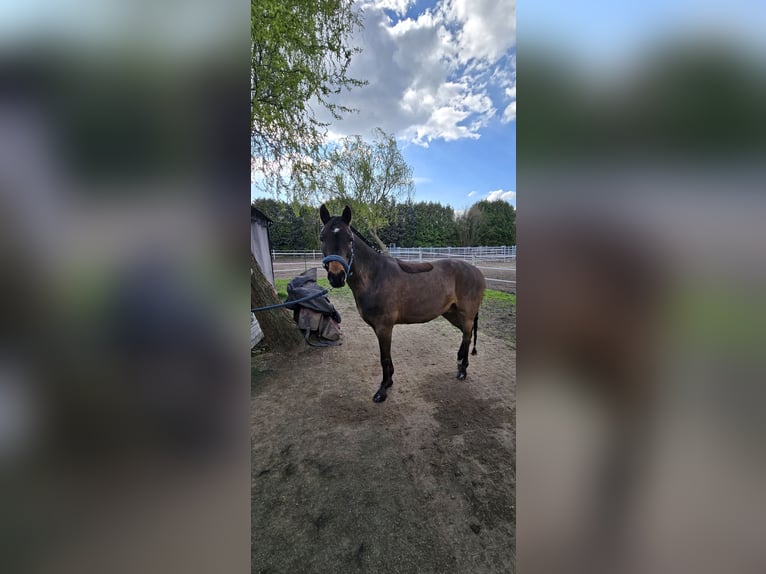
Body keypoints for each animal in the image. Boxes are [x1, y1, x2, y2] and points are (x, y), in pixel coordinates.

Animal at [319, 204, 486, 403]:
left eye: (350, 238)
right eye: (322, 238)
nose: (336, 277)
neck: (375, 276)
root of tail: (476, 271)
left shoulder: (384, 327)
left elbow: (384, 358)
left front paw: (383, 389)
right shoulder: (379, 328)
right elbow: (386, 358)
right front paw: (389, 381)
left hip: (466, 315)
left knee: (467, 336)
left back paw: (463, 370)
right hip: (451, 313)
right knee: (465, 334)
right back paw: (460, 361)